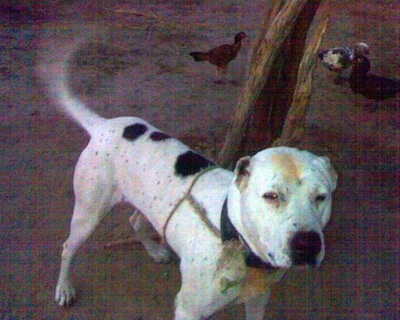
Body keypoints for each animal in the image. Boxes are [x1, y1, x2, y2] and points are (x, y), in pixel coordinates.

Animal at [40, 41, 336, 318]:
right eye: (271, 196)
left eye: (321, 197)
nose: (307, 245)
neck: (234, 240)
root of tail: (103, 126)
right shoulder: (189, 310)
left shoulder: (258, 299)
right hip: (89, 213)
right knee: (68, 247)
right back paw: (64, 288)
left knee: (135, 221)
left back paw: (155, 250)